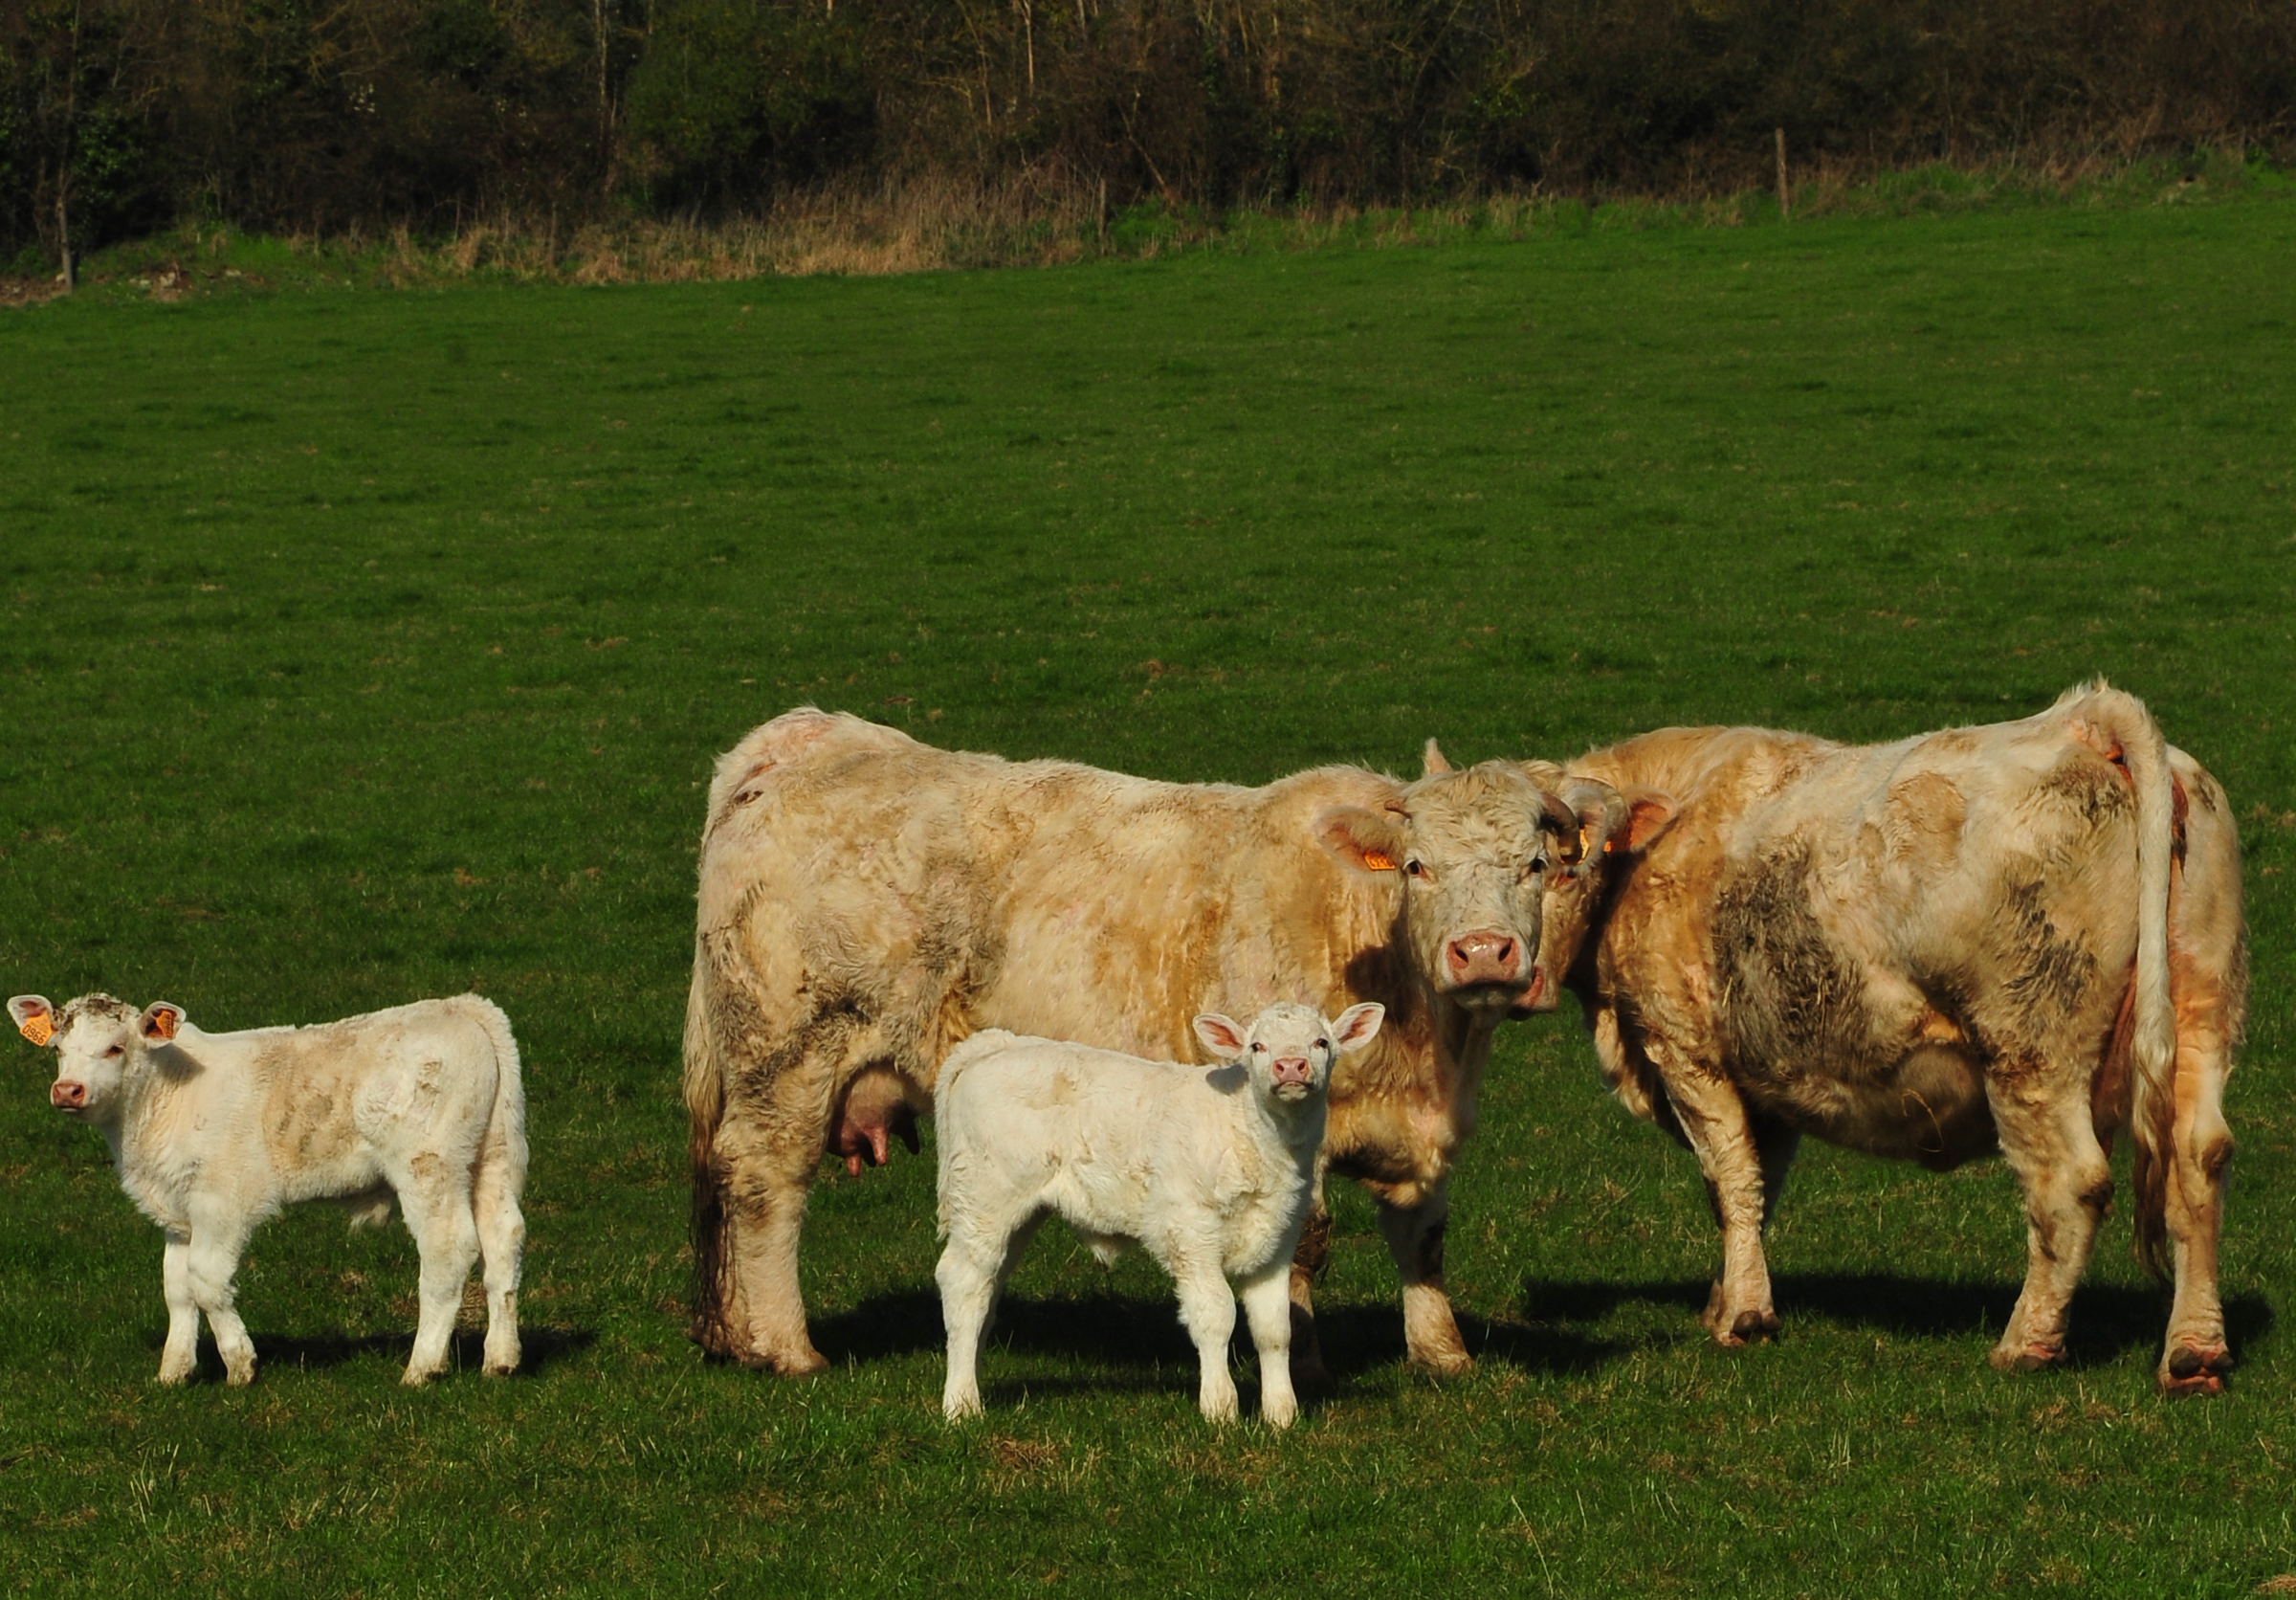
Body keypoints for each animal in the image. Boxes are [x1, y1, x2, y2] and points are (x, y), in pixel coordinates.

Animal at [7, 987, 525, 1386]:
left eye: (116, 1048)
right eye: (57, 1049)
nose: (67, 1090)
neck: (164, 1099)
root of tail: (461, 1006)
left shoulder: (222, 1200)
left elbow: (206, 1280)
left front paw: (239, 1364)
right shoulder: (178, 1209)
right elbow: (176, 1287)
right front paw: (173, 1372)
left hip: (427, 1165)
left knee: (447, 1249)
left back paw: (422, 1367)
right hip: (491, 1158)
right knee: (503, 1240)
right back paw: (500, 1359)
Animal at [679, 706, 1598, 1377]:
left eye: (1536, 865)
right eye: (1416, 866)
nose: (1483, 951)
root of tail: (802, 738)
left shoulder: (1426, 1129)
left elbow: (1423, 1237)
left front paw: (1444, 1357)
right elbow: (1301, 1248)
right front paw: (1301, 1363)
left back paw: (735, 1337)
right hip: (787, 1056)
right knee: (761, 1182)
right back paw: (786, 1348)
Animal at [932, 1005, 1378, 1432]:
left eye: (1321, 1042)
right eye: (1257, 1047)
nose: (1290, 1066)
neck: (1250, 1132)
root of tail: (996, 1045)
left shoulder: (1276, 1239)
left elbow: (1274, 1328)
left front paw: (1282, 1413)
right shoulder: (1190, 1231)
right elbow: (1216, 1315)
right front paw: (1220, 1407)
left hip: (1016, 1215)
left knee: (987, 1292)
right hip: (984, 1200)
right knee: (963, 1286)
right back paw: (961, 1404)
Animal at [1524, 679, 2241, 1395]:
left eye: (1557, 866)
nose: (1516, 972)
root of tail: (2082, 717)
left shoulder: (1683, 1047)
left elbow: (1729, 1177)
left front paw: (1743, 1318)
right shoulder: (1768, 1074)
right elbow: (1755, 1187)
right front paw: (1729, 1297)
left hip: (2032, 1048)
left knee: (2070, 1185)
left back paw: (2026, 1344)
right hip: (2203, 1012)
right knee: (2198, 1161)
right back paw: (2194, 1352)